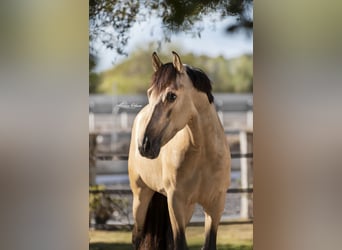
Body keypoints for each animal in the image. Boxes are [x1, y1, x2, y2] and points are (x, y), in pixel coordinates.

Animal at [129, 51, 232, 250]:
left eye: (171, 96)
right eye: (149, 93)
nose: (145, 145)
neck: (203, 155)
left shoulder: (215, 206)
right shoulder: (176, 203)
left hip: (189, 208)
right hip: (140, 197)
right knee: (136, 237)